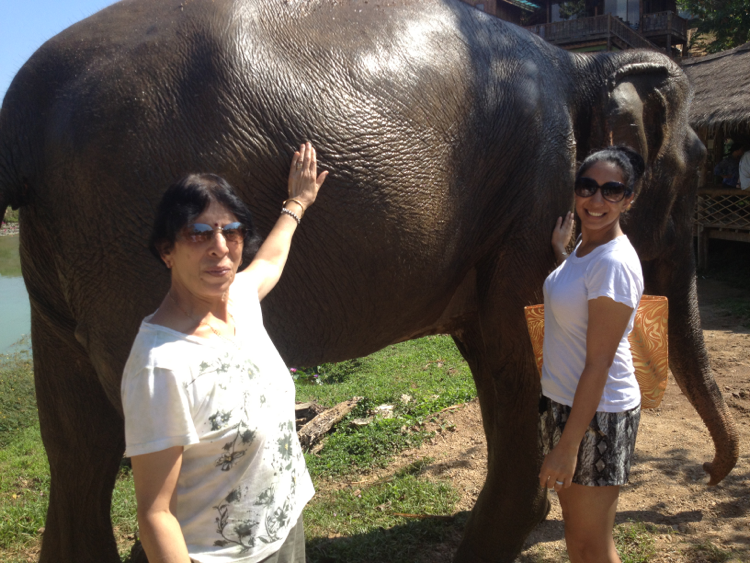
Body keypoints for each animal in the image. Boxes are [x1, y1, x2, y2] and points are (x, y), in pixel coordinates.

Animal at [0, 1, 740, 563]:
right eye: (694, 167)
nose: (711, 474)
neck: (581, 65)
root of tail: (23, 116)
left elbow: (498, 356)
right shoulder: (535, 193)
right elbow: (517, 350)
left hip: (65, 259)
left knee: (79, 449)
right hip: (121, 236)